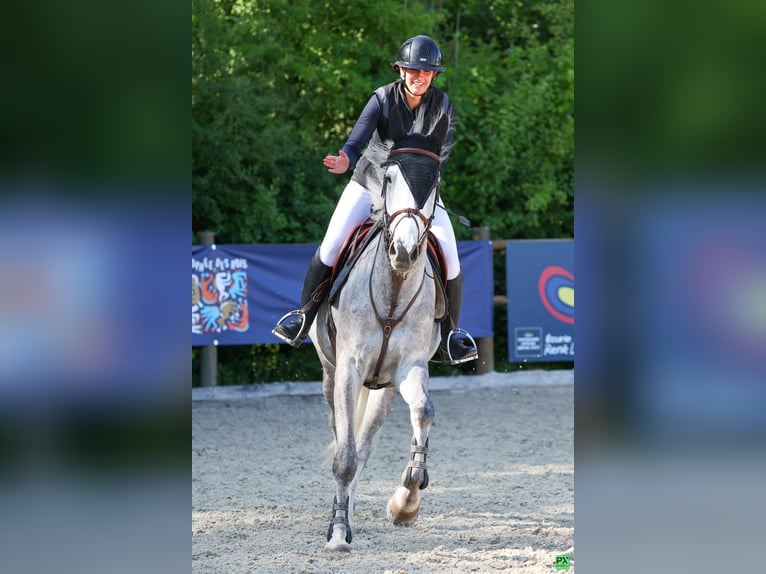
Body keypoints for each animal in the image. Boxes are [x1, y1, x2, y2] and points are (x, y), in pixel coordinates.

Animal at [309, 133, 444, 552]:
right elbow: (344, 455)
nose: (404, 251)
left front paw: (406, 501)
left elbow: (423, 412)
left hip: (383, 388)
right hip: (330, 373)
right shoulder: (348, 371)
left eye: (434, 185)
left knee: (366, 443)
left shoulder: (409, 367)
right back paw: (343, 513)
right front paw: (338, 531)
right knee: (343, 438)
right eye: (388, 180)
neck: (394, 288)